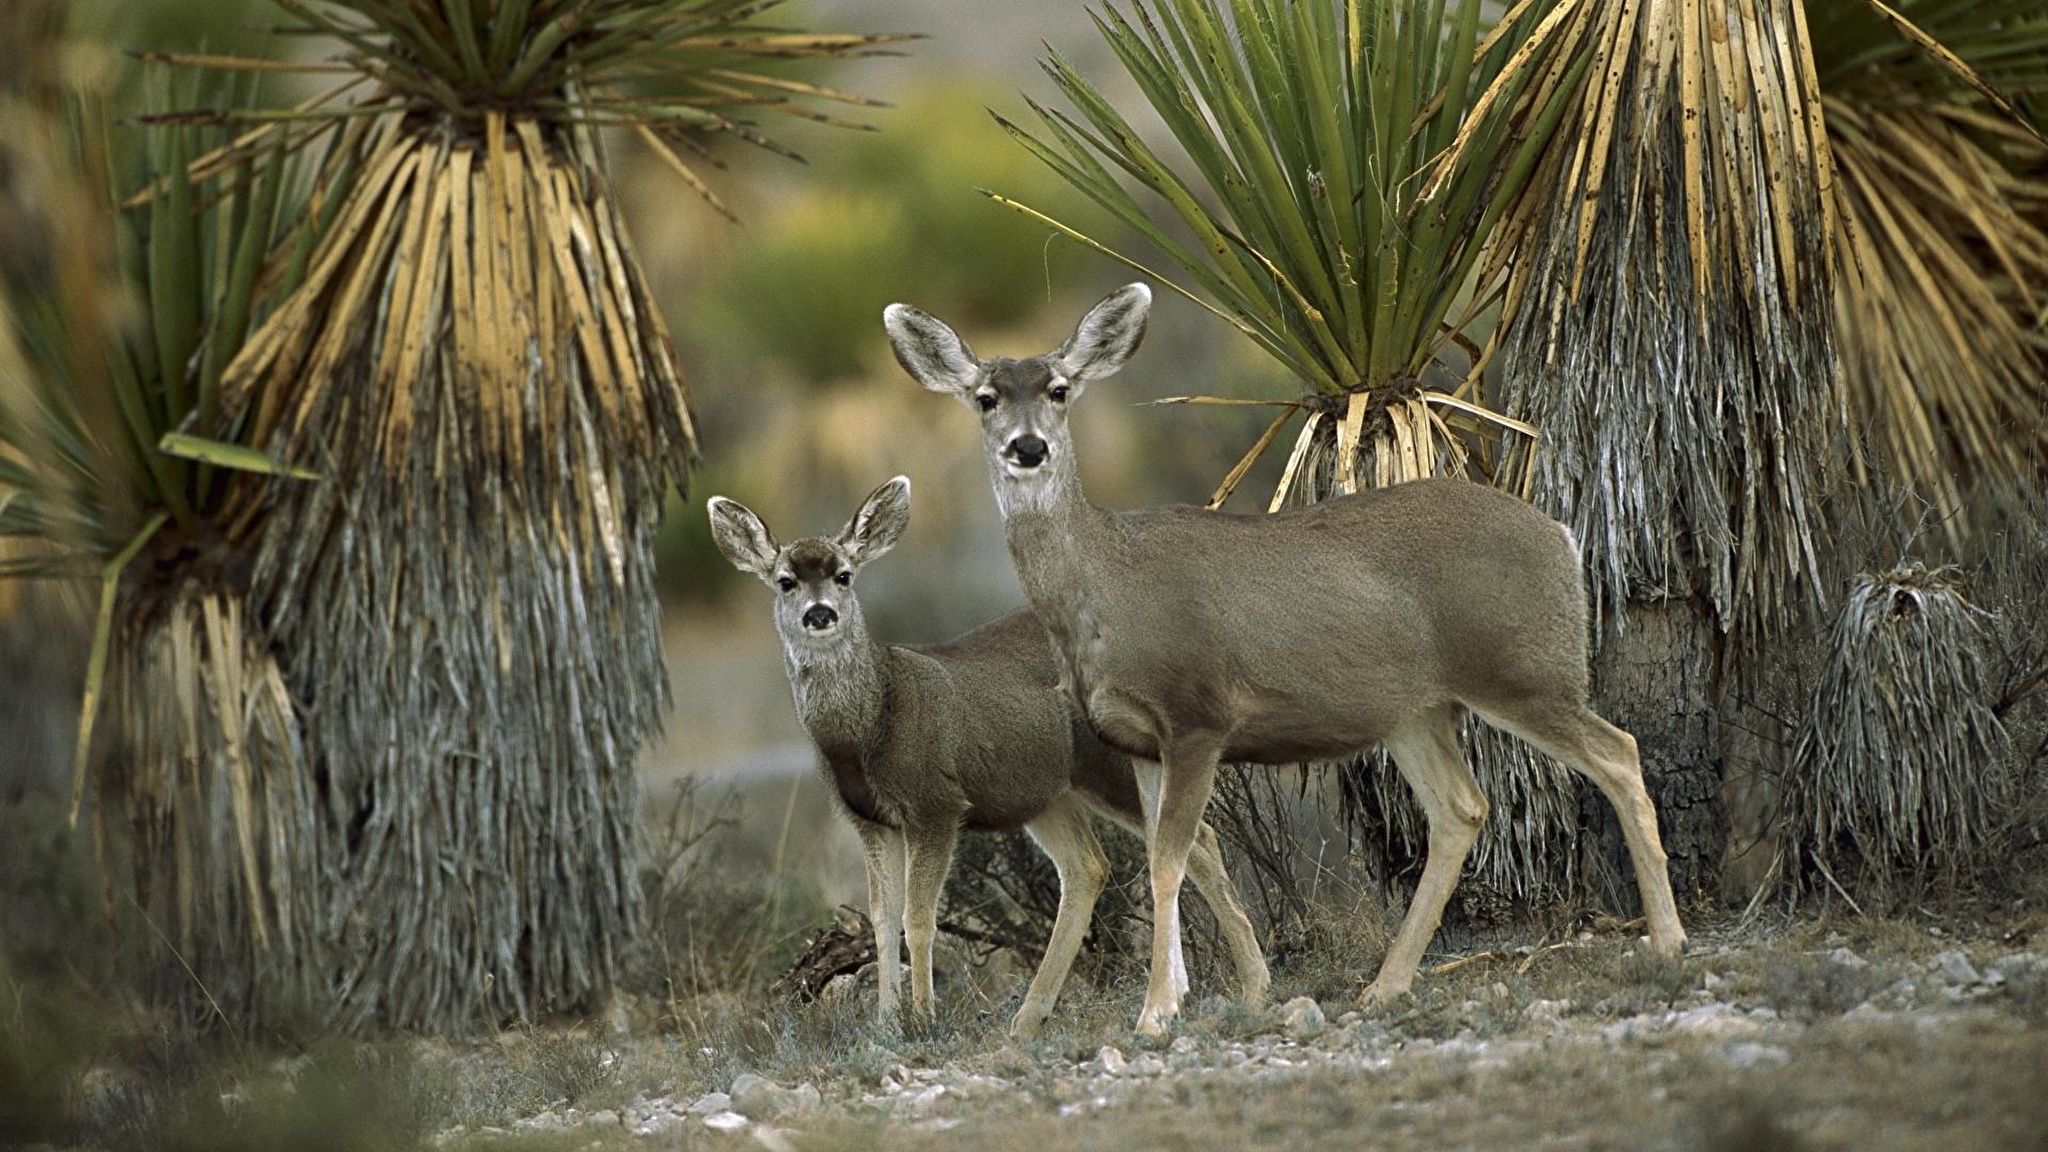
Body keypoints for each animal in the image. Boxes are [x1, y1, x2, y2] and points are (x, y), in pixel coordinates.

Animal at [712, 475, 1269, 1033]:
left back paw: (1249, 986)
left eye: (844, 575)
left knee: (1194, 839)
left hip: (1109, 765)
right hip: (1046, 793)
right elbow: (882, 917)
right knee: (1090, 866)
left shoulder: (936, 803)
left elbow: (918, 917)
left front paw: (923, 1018)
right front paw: (886, 1021)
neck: (871, 724)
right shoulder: (869, 821)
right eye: (786, 581)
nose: (820, 613)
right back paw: (1033, 1016)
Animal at [888, 280, 1687, 1033]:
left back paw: (1669, 940)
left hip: (1523, 668)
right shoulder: (1136, 738)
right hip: (1415, 710)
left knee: (1618, 753)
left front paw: (1156, 1011)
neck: (1104, 591)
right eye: (986, 398)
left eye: (1059, 389)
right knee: (1462, 809)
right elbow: (1174, 856)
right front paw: (1188, 997)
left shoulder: (1199, 713)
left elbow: (1169, 860)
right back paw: (1385, 986)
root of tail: (1563, 535)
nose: (1028, 448)